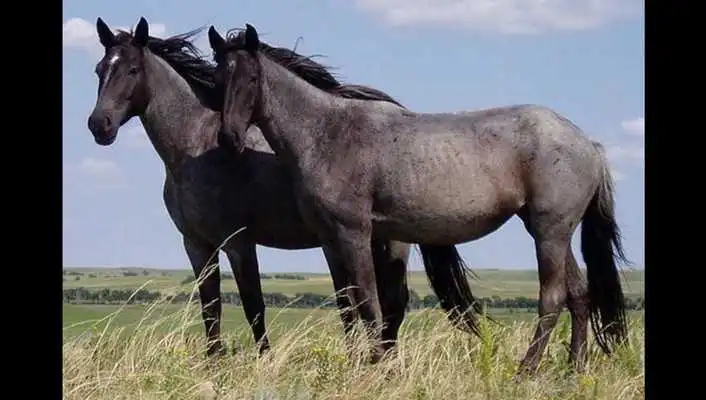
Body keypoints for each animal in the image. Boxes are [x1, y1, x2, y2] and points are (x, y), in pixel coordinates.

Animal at [85, 17, 414, 358]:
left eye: (133, 70)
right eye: (99, 69)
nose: (99, 125)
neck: (195, 148)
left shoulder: (238, 242)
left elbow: (253, 305)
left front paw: (263, 360)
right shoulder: (197, 245)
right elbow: (210, 308)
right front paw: (214, 361)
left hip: (390, 243)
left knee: (391, 304)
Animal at [207, 23, 630, 374]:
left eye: (252, 78)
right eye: (217, 78)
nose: (229, 138)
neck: (327, 133)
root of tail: (588, 144)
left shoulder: (355, 234)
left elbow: (369, 303)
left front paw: (377, 367)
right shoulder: (330, 239)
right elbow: (348, 304)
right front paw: (359, 363)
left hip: (549, 233)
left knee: (552, 297)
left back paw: (527, 369)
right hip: (553, 231)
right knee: (579, 294)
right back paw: (574, 368)